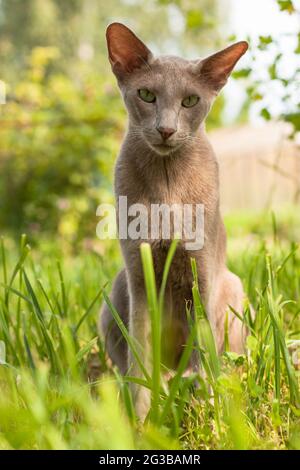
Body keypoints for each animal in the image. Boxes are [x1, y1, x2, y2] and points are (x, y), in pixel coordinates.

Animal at [99, 21, 247, 418]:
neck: (168, 186)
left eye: (191, 101)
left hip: (234, 289)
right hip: (116, 289)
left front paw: (211, 413)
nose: (166, 129)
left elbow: (203, 351)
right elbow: (139, 356)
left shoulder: (203, 277)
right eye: (147, 94)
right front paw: (139, 420)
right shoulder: (139, 276)